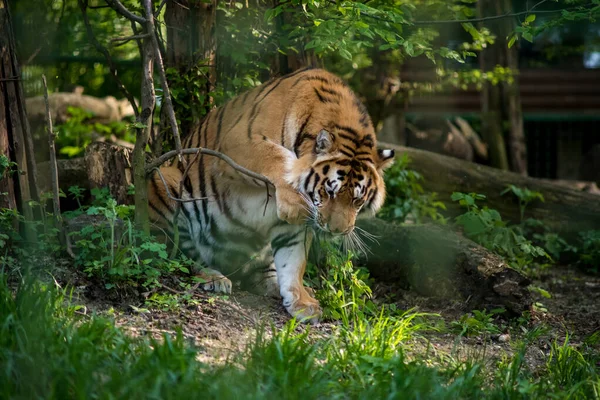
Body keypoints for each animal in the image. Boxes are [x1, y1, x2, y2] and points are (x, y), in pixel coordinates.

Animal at [148, 65, 396, 322]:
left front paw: (302, 302)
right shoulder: (239, 141)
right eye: (329, 192)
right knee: (181, 255)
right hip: (165, 180)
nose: (337, 230)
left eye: (357, 200)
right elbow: (279, 157)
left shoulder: (295, 229)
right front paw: (293, 201)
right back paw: (213, 277)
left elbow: (293, 262)